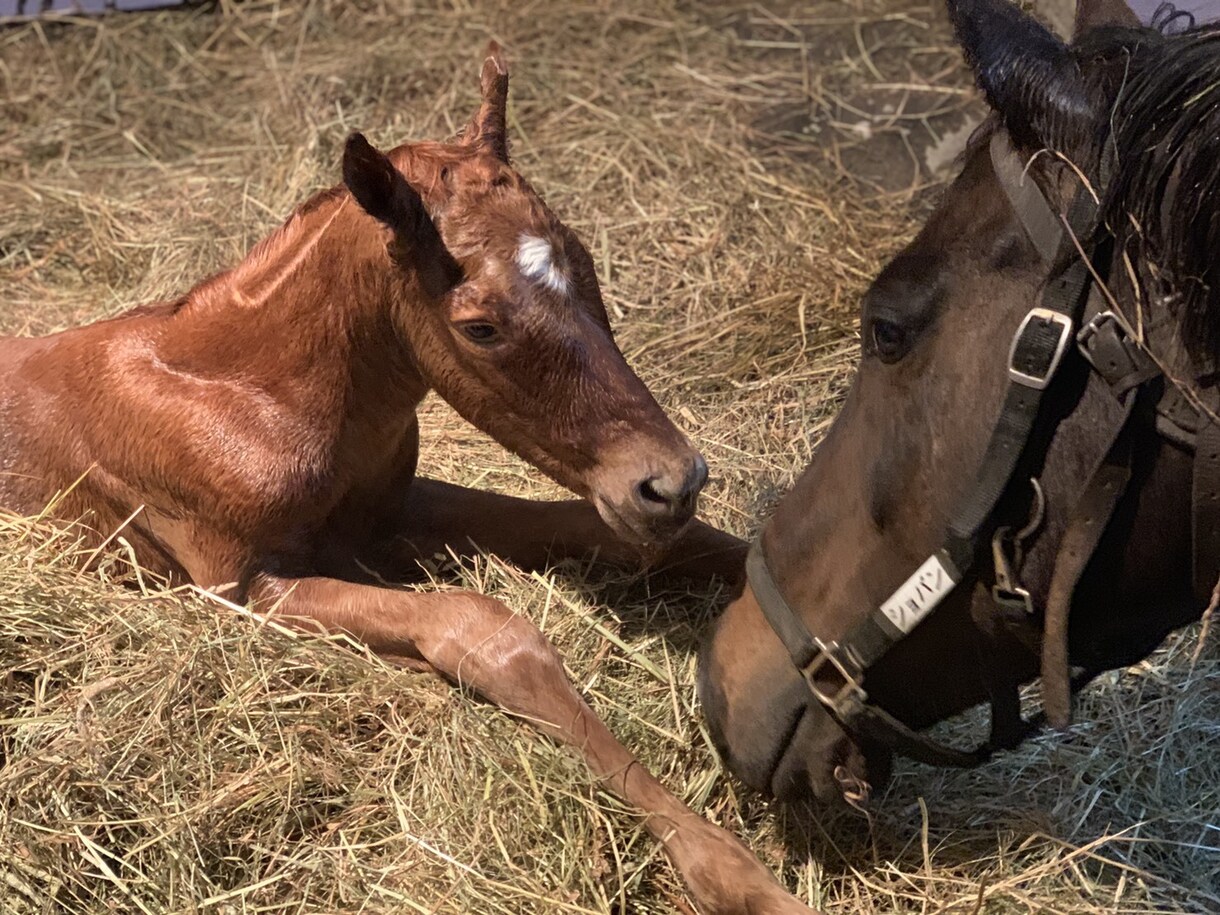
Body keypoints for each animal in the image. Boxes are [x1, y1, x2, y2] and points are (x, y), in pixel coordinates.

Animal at [0, 44, 814, 915]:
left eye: (589, 265)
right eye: (480, 326)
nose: (670, 482)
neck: (252, 395)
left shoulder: (393, 512)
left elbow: (602, 533)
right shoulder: (236, 585)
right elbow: (483, 629)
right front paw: (736, 875)